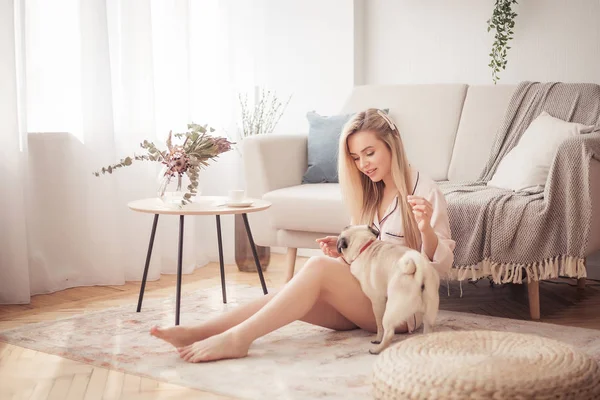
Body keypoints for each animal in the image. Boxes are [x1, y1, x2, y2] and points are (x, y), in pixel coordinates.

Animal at [338, 225, 440, 354]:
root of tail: (420, 271)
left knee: (389, 332)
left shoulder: (377, 302)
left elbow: (378, 325)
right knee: (428, 329)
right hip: (429, 312)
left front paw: (377, 338)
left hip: (391, 311)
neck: (365, 246)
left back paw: (377, 348)